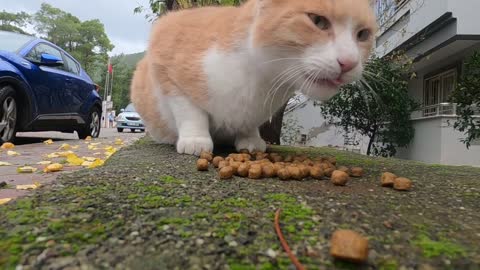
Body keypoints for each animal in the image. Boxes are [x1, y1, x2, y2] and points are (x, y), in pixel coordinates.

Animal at [130, 0, 376, 155]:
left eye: (363, 34)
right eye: (318, 21)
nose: (349, 62)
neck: (258, 77)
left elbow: (248, 123)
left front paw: (249, 139)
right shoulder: (166, 58)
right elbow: (190, 111)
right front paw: (195, 140)